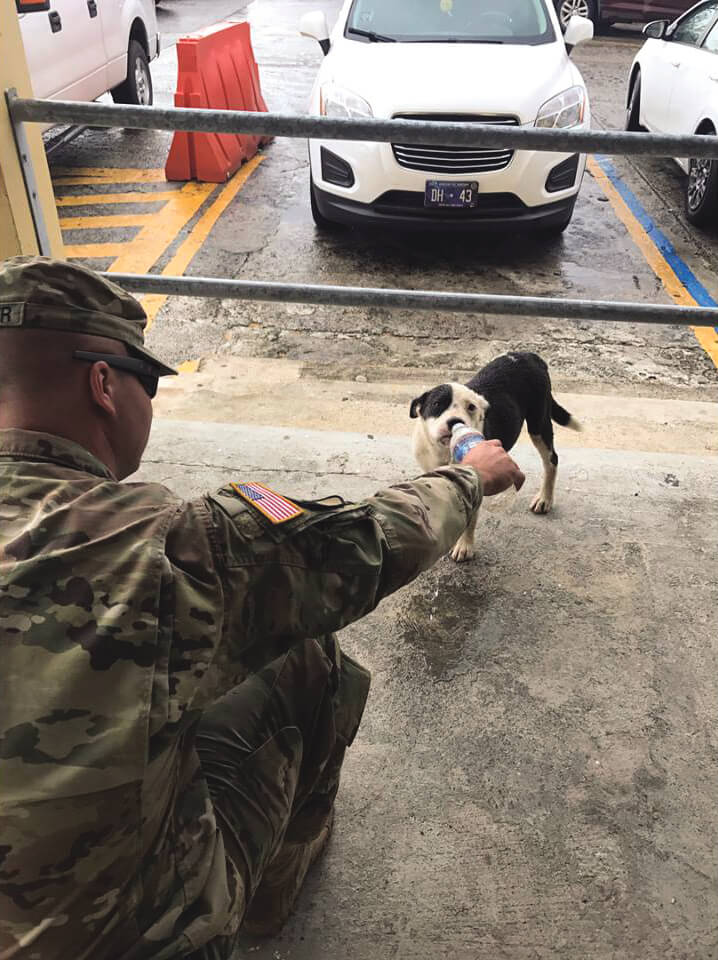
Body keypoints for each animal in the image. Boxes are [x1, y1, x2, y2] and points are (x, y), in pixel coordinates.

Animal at [410, 352, 580, 564]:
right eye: (436, 404)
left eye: (471, 408)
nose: (456, 421)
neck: (445, 451)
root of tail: (528, 355)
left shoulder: (474, 479)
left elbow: (470, 520)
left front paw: (464, 546)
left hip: (539, 424)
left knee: (552, 460)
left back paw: (544, 499)